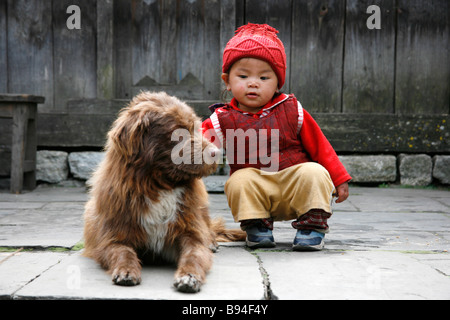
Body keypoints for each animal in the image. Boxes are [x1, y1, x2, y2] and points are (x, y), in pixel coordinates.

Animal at [84, 90, 246, 292]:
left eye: (195, 127)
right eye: (178, 132)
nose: (216, 153)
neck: (160, 185)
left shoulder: (189, 232)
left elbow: (194, 254)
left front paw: (189, 277)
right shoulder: (112, 237)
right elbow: (122, 252)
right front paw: (126, 271)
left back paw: (211, 242)